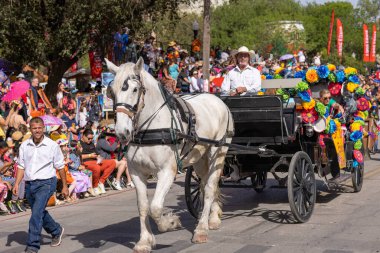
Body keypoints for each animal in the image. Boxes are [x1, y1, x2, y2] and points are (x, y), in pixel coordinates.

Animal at [105, 57, 233, 253]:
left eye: (134, 89)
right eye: (111, 91)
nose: (121, 132)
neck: (150, 127)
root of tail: (217, 99)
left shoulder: (167, 171)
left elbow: (156, 207)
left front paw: (170, 223)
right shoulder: (136, 172)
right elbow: (143, 206)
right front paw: (144, 241)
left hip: (217, 152)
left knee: (211, 187)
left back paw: (202, 228)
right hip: (199, 158)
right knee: (204, 185)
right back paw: (213, 216)